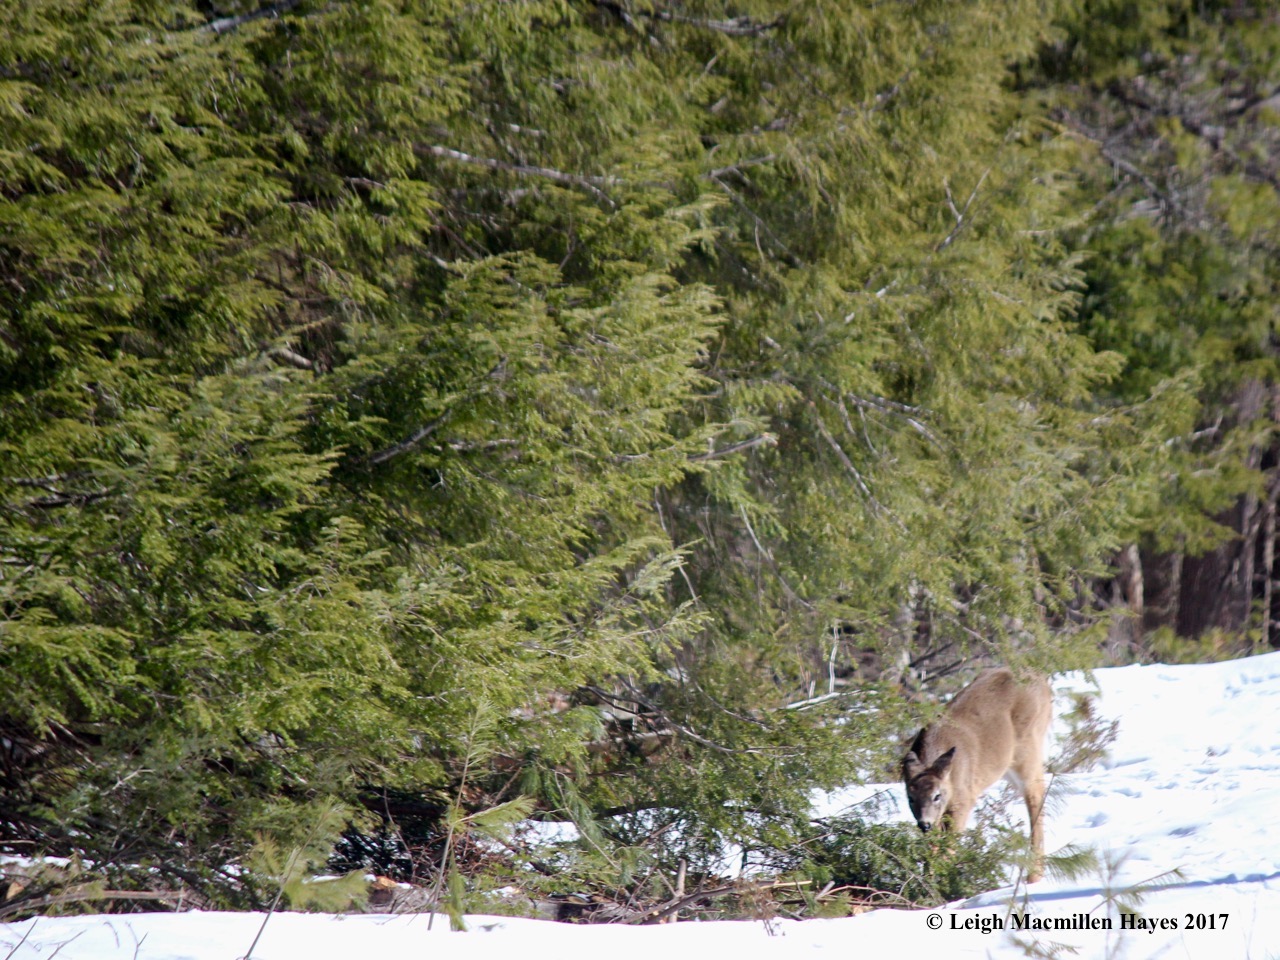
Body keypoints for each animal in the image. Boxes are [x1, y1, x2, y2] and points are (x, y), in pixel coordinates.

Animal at [902, 667, 1052, 882]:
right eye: (910, 797)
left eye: (937, 795)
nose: (924, 824)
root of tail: (1040, 678)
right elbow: (933, 848)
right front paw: (927, 880)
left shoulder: (963, 799)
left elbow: (949, 847)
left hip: (1028, 749)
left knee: (1036, 795)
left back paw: (1034, 875)